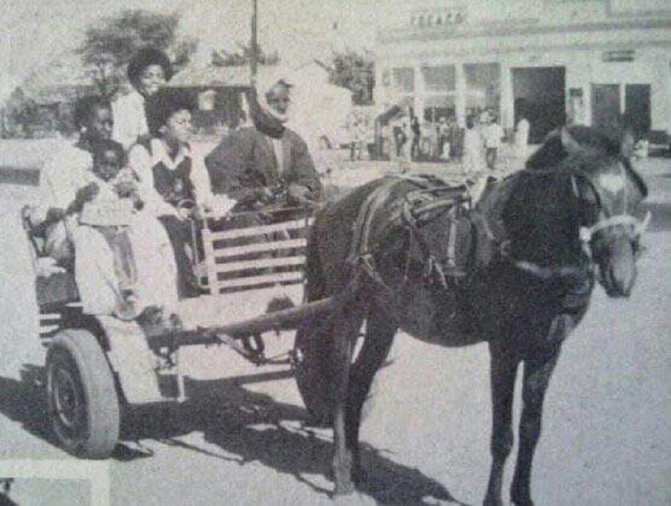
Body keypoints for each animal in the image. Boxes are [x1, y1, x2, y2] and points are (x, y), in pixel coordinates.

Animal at [300, 124, 652, 504]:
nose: (621, 276)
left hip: (385, 316)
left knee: (359, 383)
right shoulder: (504, 349)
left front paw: (523, 495)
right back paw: (341, 473)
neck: (524, 241)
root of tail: (333, 205)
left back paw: (358, 468)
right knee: (339, 387)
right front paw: (494, 499)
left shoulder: (547, 348)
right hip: (348, 309)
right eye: (588, 197)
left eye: (637, 192)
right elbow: (503, 435)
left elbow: (531, 428)